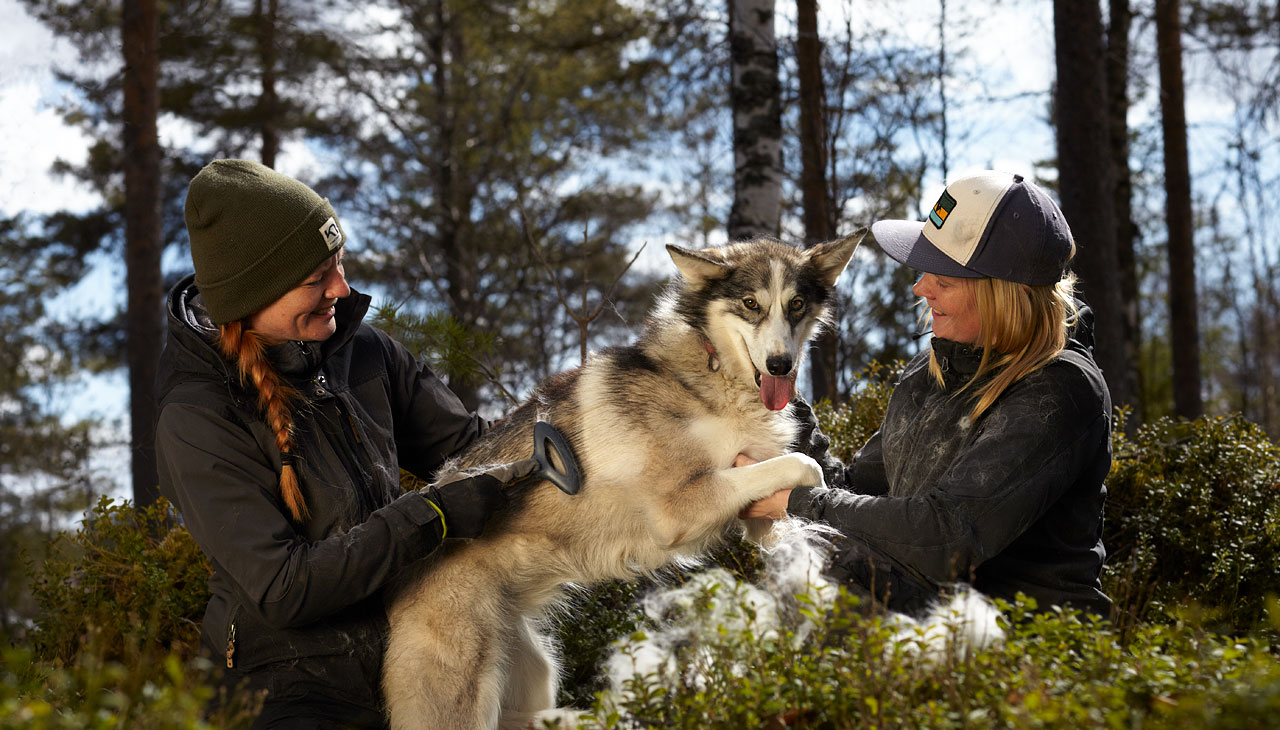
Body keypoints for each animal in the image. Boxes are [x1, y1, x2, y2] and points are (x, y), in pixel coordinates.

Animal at [378, 231, 860, 727]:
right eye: (750, 303)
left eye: (796, 304)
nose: (781, 365)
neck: (713, 377)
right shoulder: (678, 509)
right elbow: (802, 465)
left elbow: (781, 514)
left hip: (537, 672)